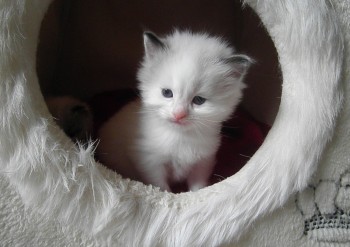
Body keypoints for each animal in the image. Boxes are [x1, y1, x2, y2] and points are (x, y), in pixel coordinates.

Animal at [98, 29, 252, 191]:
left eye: (199, 100)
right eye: (167, 93)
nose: (179, 114)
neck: (180, 137)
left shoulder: (203, 162)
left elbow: (198, 187)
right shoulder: (150, 163)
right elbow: (161, 187)